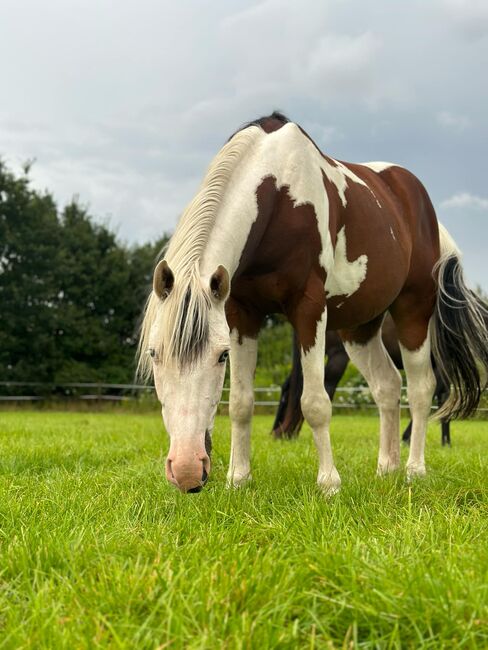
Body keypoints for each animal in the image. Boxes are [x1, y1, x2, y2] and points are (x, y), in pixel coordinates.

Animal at [270, 312, 454, 442]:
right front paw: (408, 437)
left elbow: (442, 398)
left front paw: (445, 441)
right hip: (338, 356)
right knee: (324, 389)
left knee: (290, 387)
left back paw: (281, 432)